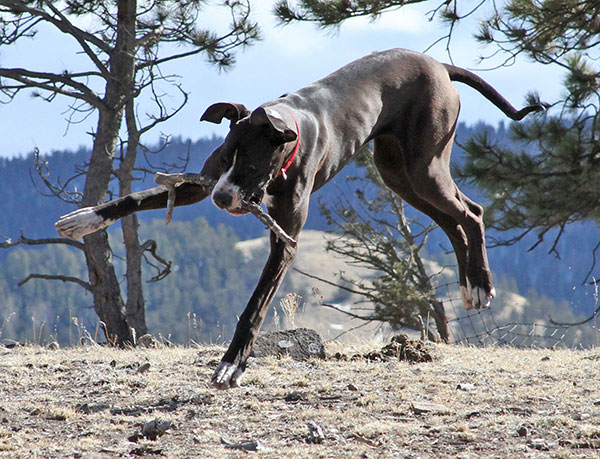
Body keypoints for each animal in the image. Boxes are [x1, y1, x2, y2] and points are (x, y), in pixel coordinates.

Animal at [56, 48, 544, 389]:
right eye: (226, 157)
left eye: (253, 165)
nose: (223, 199)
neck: (284, 125)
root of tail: (439, 64)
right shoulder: (203, 181)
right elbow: (139, 197)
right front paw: (88, 217)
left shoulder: (284, 242)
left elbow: (254, 306)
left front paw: (232, 364)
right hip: (401, 174)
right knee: (453, 218)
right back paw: (470, 284)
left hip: (424, 166)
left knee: (471, 213)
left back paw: (480, 283)